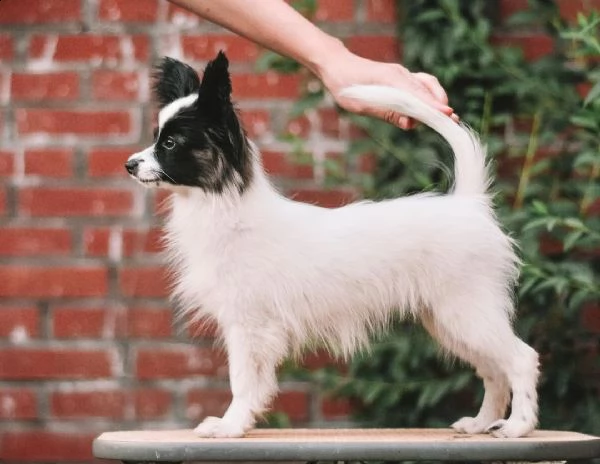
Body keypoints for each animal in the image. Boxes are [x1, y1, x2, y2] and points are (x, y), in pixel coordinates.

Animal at [125, 51, 540, 438]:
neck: (223, 205)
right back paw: (482, 423)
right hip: (450, 320)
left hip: (467, 312)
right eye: (155, 136)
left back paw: (518, 426)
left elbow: (242, 381)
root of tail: (469, 203)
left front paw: (230, 426)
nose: (129, 164)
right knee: (492, 369)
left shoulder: (249, 326)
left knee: (521, 359)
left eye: (170, 143)